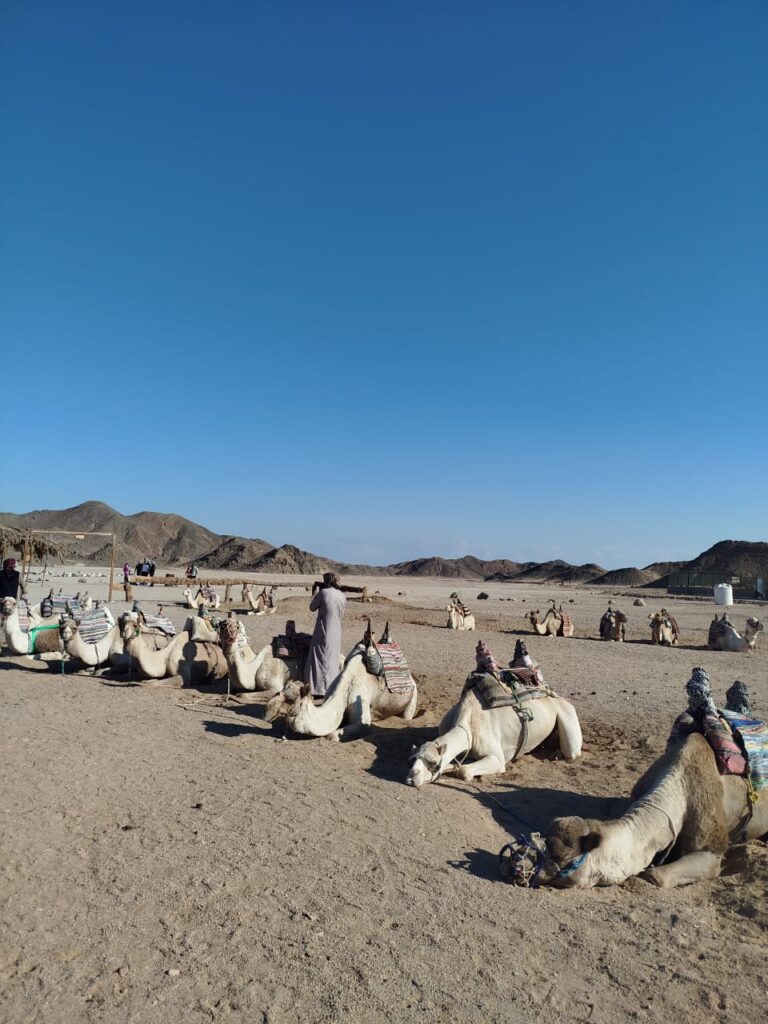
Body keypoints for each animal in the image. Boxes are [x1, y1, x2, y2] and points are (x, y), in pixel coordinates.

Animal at [265, 633, 418, 741]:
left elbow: (331, 735)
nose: (268, 712)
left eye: (291, 701)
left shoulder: (362, 711)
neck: (346, 689)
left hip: (412, 698)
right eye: (281, 692)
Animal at [406, 683, 582, 787]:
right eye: (412, 760)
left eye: (434, 763)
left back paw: (557, 754)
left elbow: (464, 771)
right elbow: (456, 764)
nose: (412, 777)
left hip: (567, 713)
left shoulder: (497, 758)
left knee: (571, 751)